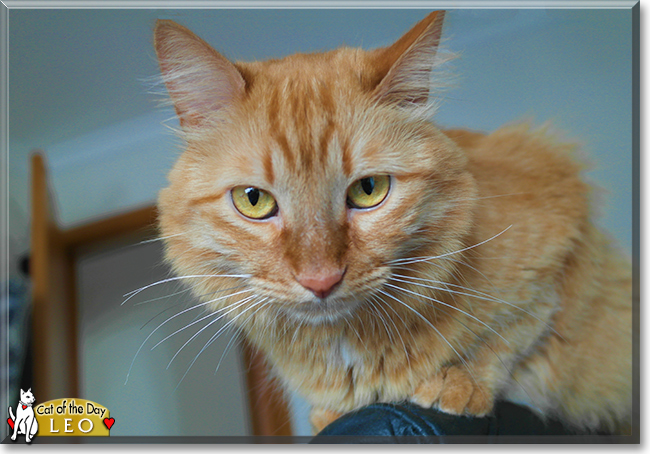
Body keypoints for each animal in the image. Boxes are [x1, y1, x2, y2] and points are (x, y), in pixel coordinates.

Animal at [151, 10, 628, 434]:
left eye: (368, 190)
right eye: (254, 200)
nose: (321, 281)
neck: (347, 349)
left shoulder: (559, 239)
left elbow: (514, 337)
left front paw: (458, 382)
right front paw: (328, 413)